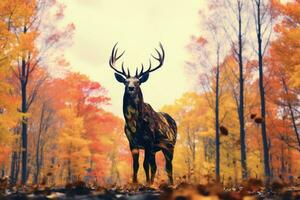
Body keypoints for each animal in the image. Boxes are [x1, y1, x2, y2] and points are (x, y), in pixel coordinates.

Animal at [109, 43, 177, 185]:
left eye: (138, 82)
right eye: (125, 81)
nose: (131, 88)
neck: (136, 124)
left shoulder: (149, 141)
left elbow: (146, 165)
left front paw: (147, 184)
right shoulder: (132, 142)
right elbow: (136, 165)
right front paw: (135, 183)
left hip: (170, 145)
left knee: (168, 167)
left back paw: (170, 184)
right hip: (157, 149)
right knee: (156, 166)